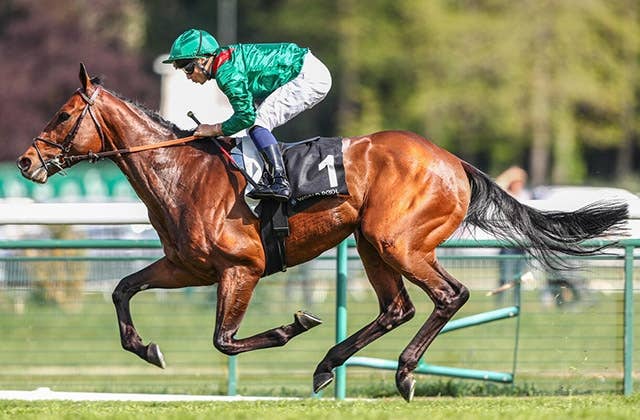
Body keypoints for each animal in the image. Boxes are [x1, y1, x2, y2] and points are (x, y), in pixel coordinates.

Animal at [16, 65, 627, 402]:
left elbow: (224, 339)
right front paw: (146, 347)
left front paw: (293, 326)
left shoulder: (243, 268)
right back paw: (329, 364)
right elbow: (122, 289)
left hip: (396, 240)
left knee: (449, 296)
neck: (182, 172)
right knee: (398, 308)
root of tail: (454, 161)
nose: (25, 161)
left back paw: (402, 372)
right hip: (372, 243)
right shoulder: (187, 267)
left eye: (63, 113)